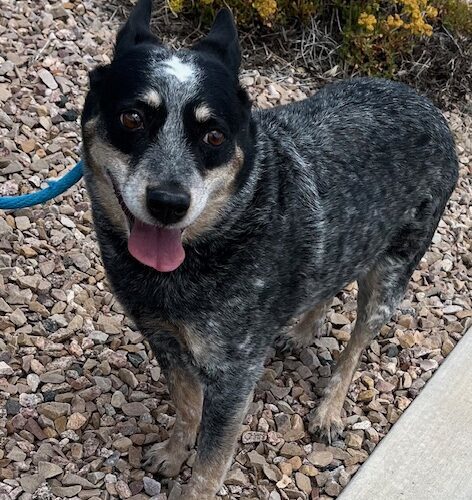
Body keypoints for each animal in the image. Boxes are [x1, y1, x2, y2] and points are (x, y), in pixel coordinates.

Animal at [80, 1, 458, 498]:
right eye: (132, 119)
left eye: (215, 136)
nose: (168, 202)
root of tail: (431, 107)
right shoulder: (163, 337)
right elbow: (186, 405)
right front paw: (174, 451)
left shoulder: (235, 374)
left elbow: (210, 464)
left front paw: (193, 478)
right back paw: (301, 329)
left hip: (392, 273)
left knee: (357, 343)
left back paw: (330, 408)